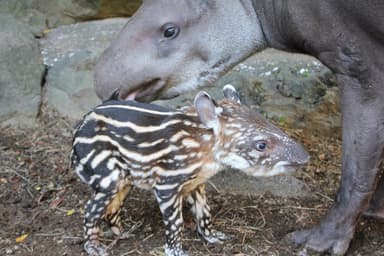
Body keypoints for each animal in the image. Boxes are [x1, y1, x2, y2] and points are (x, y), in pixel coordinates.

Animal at [94, 1, 384, 255]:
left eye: (169, 30)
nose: (103, 84)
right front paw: (378, 208)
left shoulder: (359, 61)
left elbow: (357, 167)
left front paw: (317, 242)